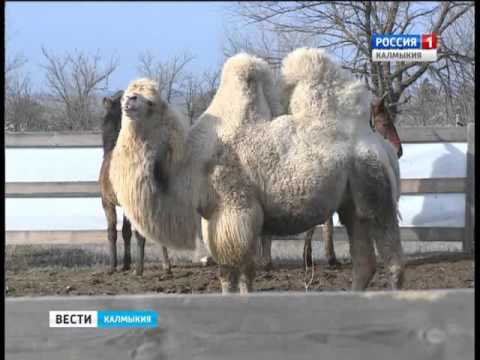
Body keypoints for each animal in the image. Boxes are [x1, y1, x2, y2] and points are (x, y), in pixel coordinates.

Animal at [109, 47, 404, 294]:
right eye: (130, 91)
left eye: (151, 101)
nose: (129, 100)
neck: (191, 165)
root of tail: (380, 145)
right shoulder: (215, 217)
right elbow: (236, 272)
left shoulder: (236, 209)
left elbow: (235, 272)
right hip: (352, 204)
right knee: (364, 262)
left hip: (376, 191)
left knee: (392, 260)